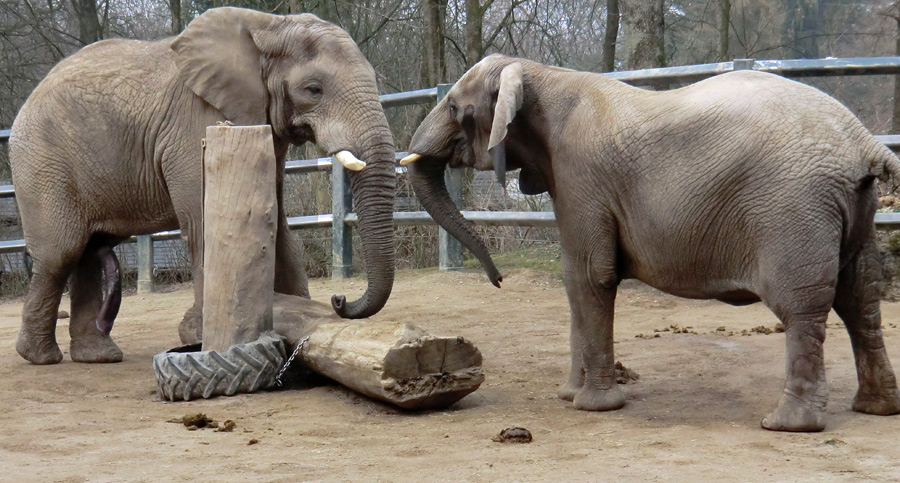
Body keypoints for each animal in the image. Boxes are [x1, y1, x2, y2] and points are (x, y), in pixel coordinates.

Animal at [7, 6, 394, 366]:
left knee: (87, 252)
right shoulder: (198, 124)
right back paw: (40, 357)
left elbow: (279, 226)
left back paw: (98, 356)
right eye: (314, 90)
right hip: (42, 163)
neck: (268, 26)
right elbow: (207, 218)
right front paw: (199, 332)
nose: (339, 299)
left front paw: (297, 315)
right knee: (62, 252)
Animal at [404, 54, 900, 432]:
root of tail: (865, 144)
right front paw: (569, 395)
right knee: (861, 299)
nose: (499, 281)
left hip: (794, 208)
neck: (537, 72)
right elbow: (576, 282)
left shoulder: (582, 176)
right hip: (858, 207)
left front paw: (592, 406)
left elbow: (588, 276)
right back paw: (876, 409)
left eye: (454, 107)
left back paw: (787, 425)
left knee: (801, 308)